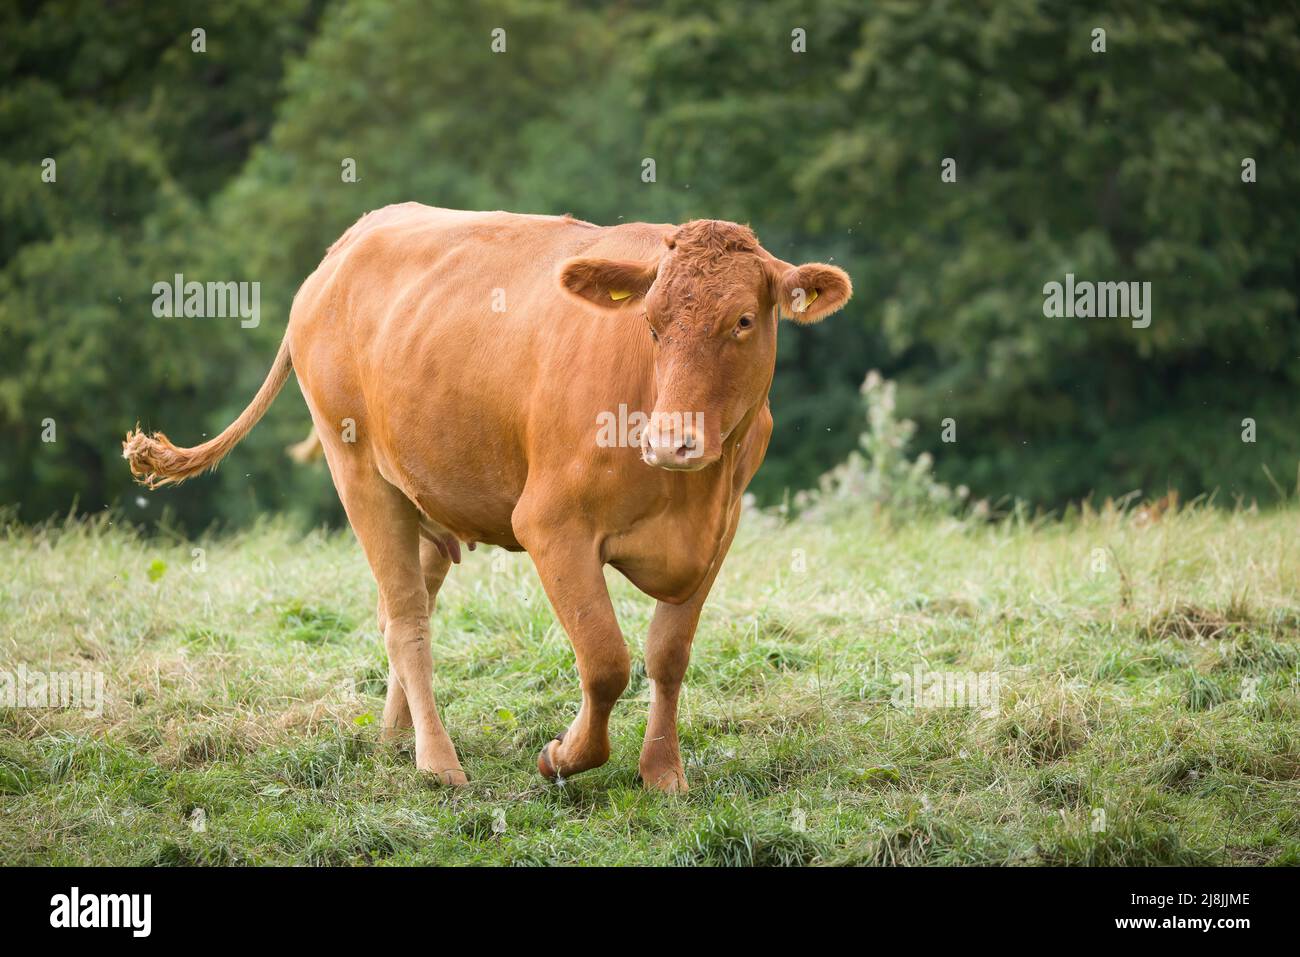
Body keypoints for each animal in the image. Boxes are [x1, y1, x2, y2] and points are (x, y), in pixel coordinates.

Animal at [124, 204, 852, 791]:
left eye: (743, 320)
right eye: (650, 323)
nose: (671, 441)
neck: (688, 491)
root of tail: (352, 239)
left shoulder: (716, 534)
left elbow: (667, 657)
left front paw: (663, 772)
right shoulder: (551, 525)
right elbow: (606, 660)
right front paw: (564, 756)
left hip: (422, 487)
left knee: (402, 608)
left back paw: (398, 737)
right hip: (357, 472)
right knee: (407, 621)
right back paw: (438, 762)